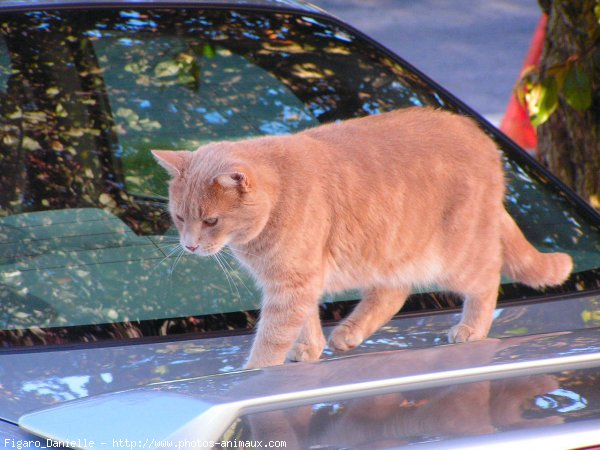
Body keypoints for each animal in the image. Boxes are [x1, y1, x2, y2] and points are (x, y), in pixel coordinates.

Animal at [152, 108, 576, 370]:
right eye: (179, 217)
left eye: (210, 220)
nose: (189, 245)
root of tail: (485, 140)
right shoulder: (300, 280)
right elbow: (306, 320)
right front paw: (308, 349)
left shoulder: (292, 282)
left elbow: (272, 335)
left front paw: (256, 371)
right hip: (391, 251)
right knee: (394, 292)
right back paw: (348, 334)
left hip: (454, 256)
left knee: (488, 278)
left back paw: (472, 328)